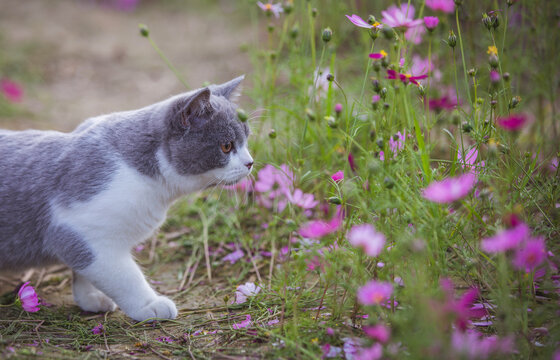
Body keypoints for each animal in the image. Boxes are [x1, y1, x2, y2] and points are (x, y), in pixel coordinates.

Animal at [0, 75, 252, 320]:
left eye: (246, 140)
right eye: (226, 146)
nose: (250, 162)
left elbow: (82, 271)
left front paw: (90, 297)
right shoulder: (81, 231)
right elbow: (125, 277)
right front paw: (150, 305)